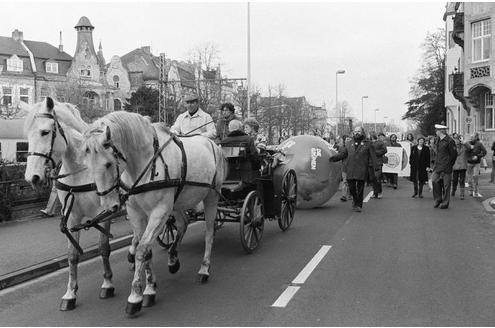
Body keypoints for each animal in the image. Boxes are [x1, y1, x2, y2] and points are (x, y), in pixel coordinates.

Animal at [23, 96, 119, 310]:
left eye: (45, 132)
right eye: (26, 135)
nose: (32, 177)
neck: (80, 171)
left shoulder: (105, 211)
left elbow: (103, 247)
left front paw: (108, 283)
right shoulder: (71, 216)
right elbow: (72, 255)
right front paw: (70, 293)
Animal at [82, 112, 228, 316]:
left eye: (108, 164)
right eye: (87, 166)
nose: (109, 207)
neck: (146, 162)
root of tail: (214, 145)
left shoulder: (159, 212)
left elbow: (142, 249)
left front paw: (135, 296)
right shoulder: (137, 213)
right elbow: (145, 249)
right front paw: (150, 289)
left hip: (211, 197)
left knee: (209, 232)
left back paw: (204, 269)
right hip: (178, 201)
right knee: (183, 224)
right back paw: (173, 259)